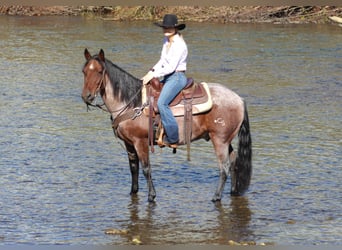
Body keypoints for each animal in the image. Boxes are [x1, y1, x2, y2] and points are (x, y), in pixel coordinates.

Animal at [80, 48, 251, 203]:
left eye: (100, 71)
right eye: (84, 71)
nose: (86, 96)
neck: (131, 102)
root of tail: (239, 99)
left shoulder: (140, 142)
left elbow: (146, 169)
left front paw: (151, 196)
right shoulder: (129, 143)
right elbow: (133, 168)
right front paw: (133, 192)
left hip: (219, 140)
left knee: (224, 167)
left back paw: (216, 197)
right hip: (225, 140)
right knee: (234, 162)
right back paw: (233, 192)